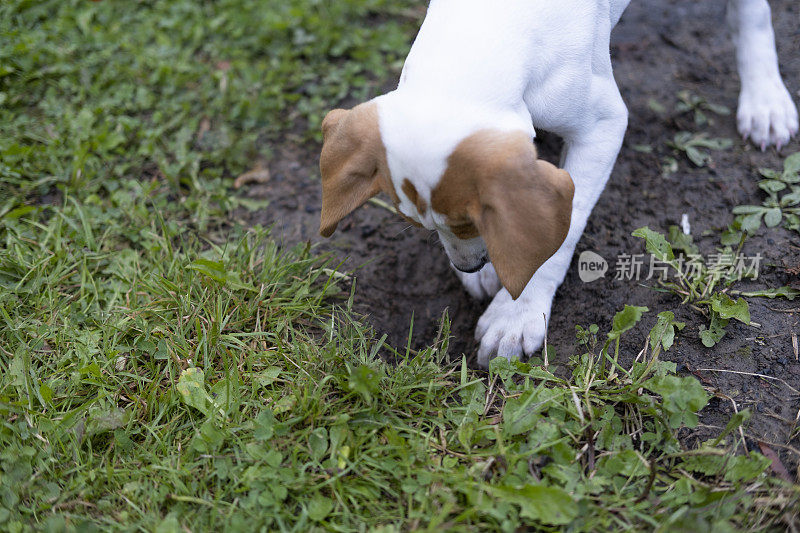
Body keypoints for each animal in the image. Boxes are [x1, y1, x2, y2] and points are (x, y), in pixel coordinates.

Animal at [316, 0, 796, 366]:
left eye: (470, 223)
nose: (468, 267)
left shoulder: (602, 126)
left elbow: (555, 237)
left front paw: (516, 314)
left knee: (752, 12)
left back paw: (765, 99)